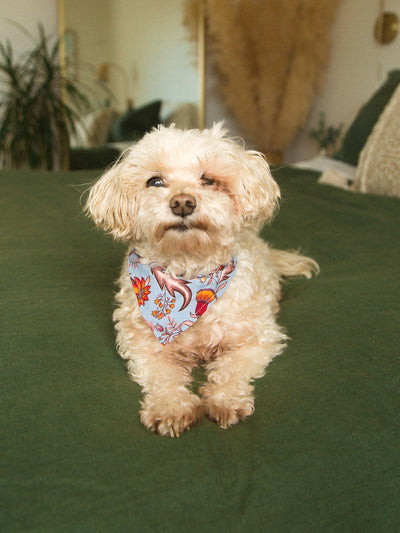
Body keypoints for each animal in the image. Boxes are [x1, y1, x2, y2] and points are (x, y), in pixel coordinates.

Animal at [85, 122, 318, 434]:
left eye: (208, 180)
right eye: (155, 182)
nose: (182, 202)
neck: (190, 272)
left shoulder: (258, 339)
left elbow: (232, 369)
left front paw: (225, 399)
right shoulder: (143, 346)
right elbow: (162, 377)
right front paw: (170, 407)